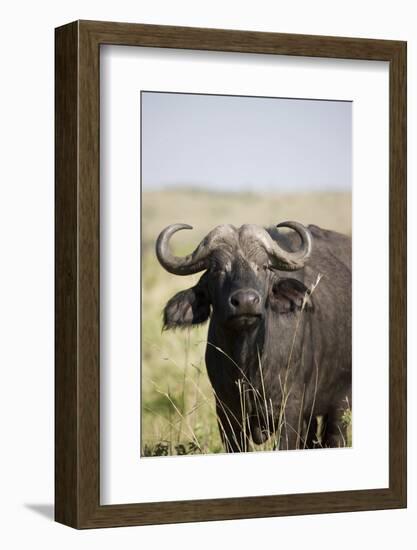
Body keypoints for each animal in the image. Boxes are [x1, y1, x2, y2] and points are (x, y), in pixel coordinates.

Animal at [156, 222, 352, 454]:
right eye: (216, 269)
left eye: (263, 266)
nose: (246, 301)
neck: (249, 363)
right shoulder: (227, 414)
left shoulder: (291, 409)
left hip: (340, 403)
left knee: (335, 436)